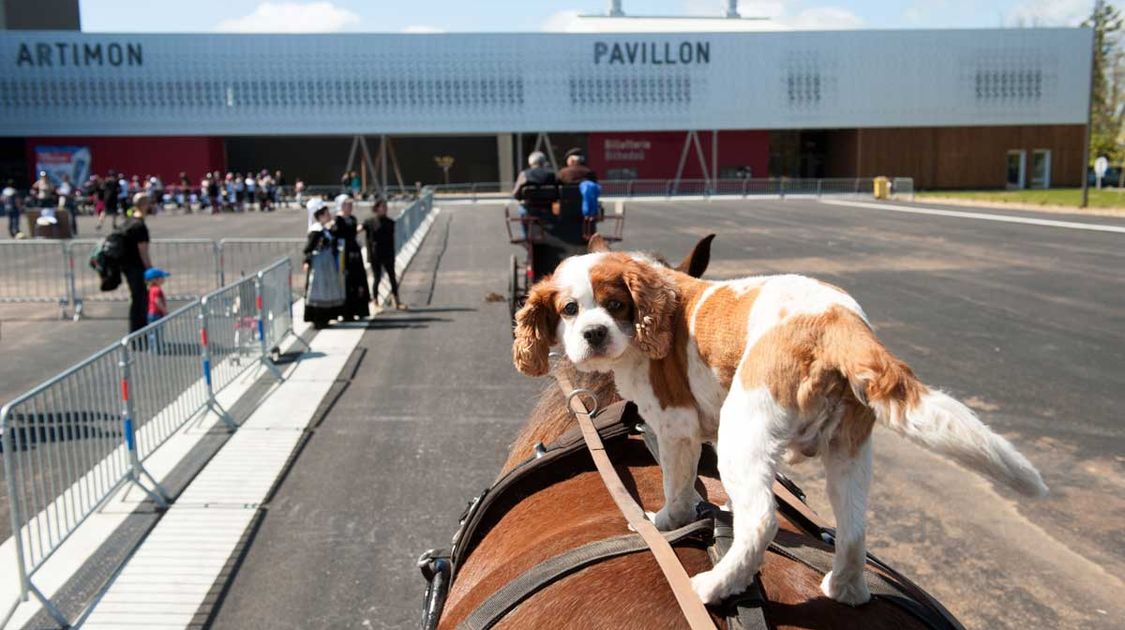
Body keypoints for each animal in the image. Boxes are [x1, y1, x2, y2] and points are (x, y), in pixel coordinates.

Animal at [510, 239, 1044, 607]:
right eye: (569, 310)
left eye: (616, 304)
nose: (594, 334)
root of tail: (839, 323)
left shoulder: (677, 428)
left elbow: (677, 484)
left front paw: (666, 522)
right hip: (848, 452)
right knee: (853, 528)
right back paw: (846, 589)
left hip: (742, 433)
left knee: (762, 520)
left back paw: (716, 585)